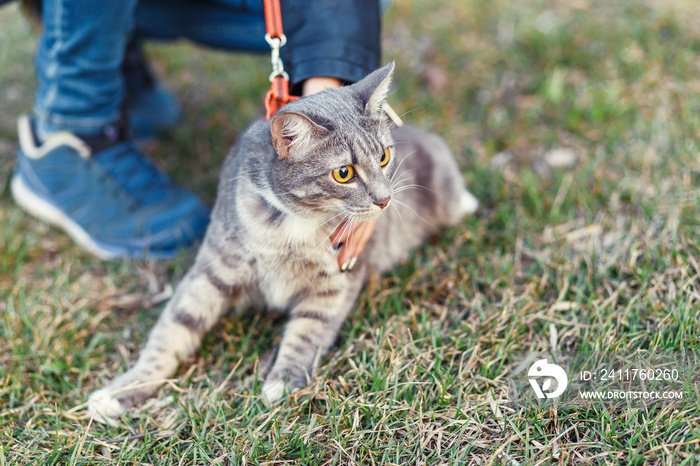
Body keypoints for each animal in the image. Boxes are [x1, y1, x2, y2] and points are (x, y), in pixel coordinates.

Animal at [87, 63, 478, 416]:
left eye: (383, 156)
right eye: (343, 173)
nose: (385, 200)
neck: (294, 227)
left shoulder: (337, 281)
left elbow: (308, 329)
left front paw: (283, 379)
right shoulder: (212, 270)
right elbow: (172, 329)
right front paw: (124, 389)